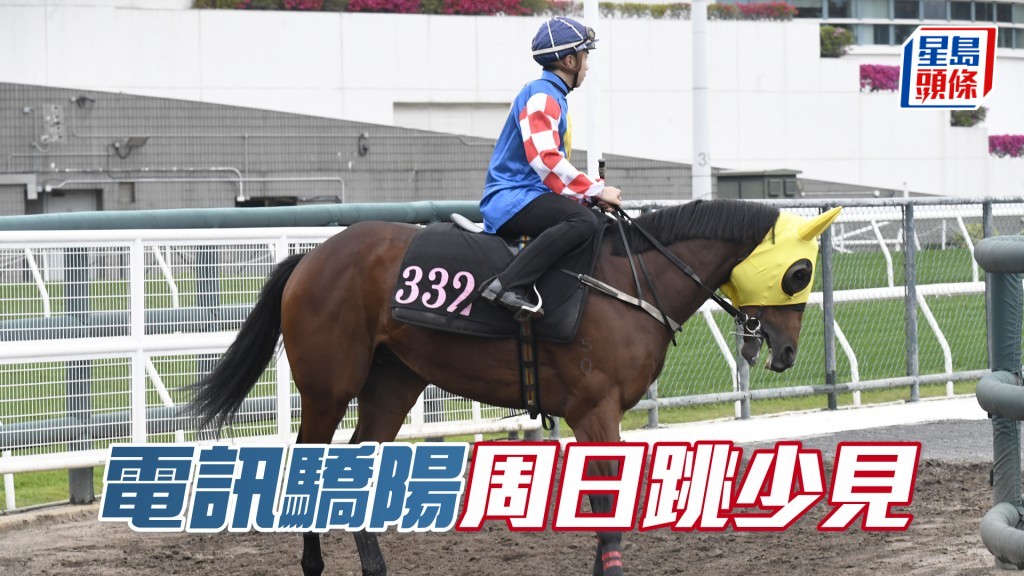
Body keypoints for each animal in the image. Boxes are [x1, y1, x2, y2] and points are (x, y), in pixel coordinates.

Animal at [190, 198, 841, 576]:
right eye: (799, 271)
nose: (786, 351)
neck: (630, 280)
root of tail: (311, 257)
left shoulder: (597, 415)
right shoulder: (595, 410)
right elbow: (609, 495)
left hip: (394, 382)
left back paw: (373, 563)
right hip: (330, 384)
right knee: (311, 459)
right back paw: (313, 562)